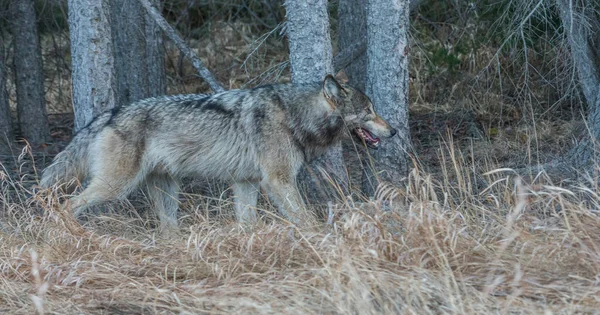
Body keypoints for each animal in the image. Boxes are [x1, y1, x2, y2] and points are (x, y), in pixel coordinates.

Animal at [42, 75, 398, 231]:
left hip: (166, 191)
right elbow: (306, 219)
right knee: (65, 205)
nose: (394, 131)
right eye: (369, 111)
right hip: (115, 186)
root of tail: (108, 114)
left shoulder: (246, 183)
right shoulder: (278, 181)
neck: (294, 115)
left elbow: (247, 222)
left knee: (167, 228)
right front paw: (321, 241)